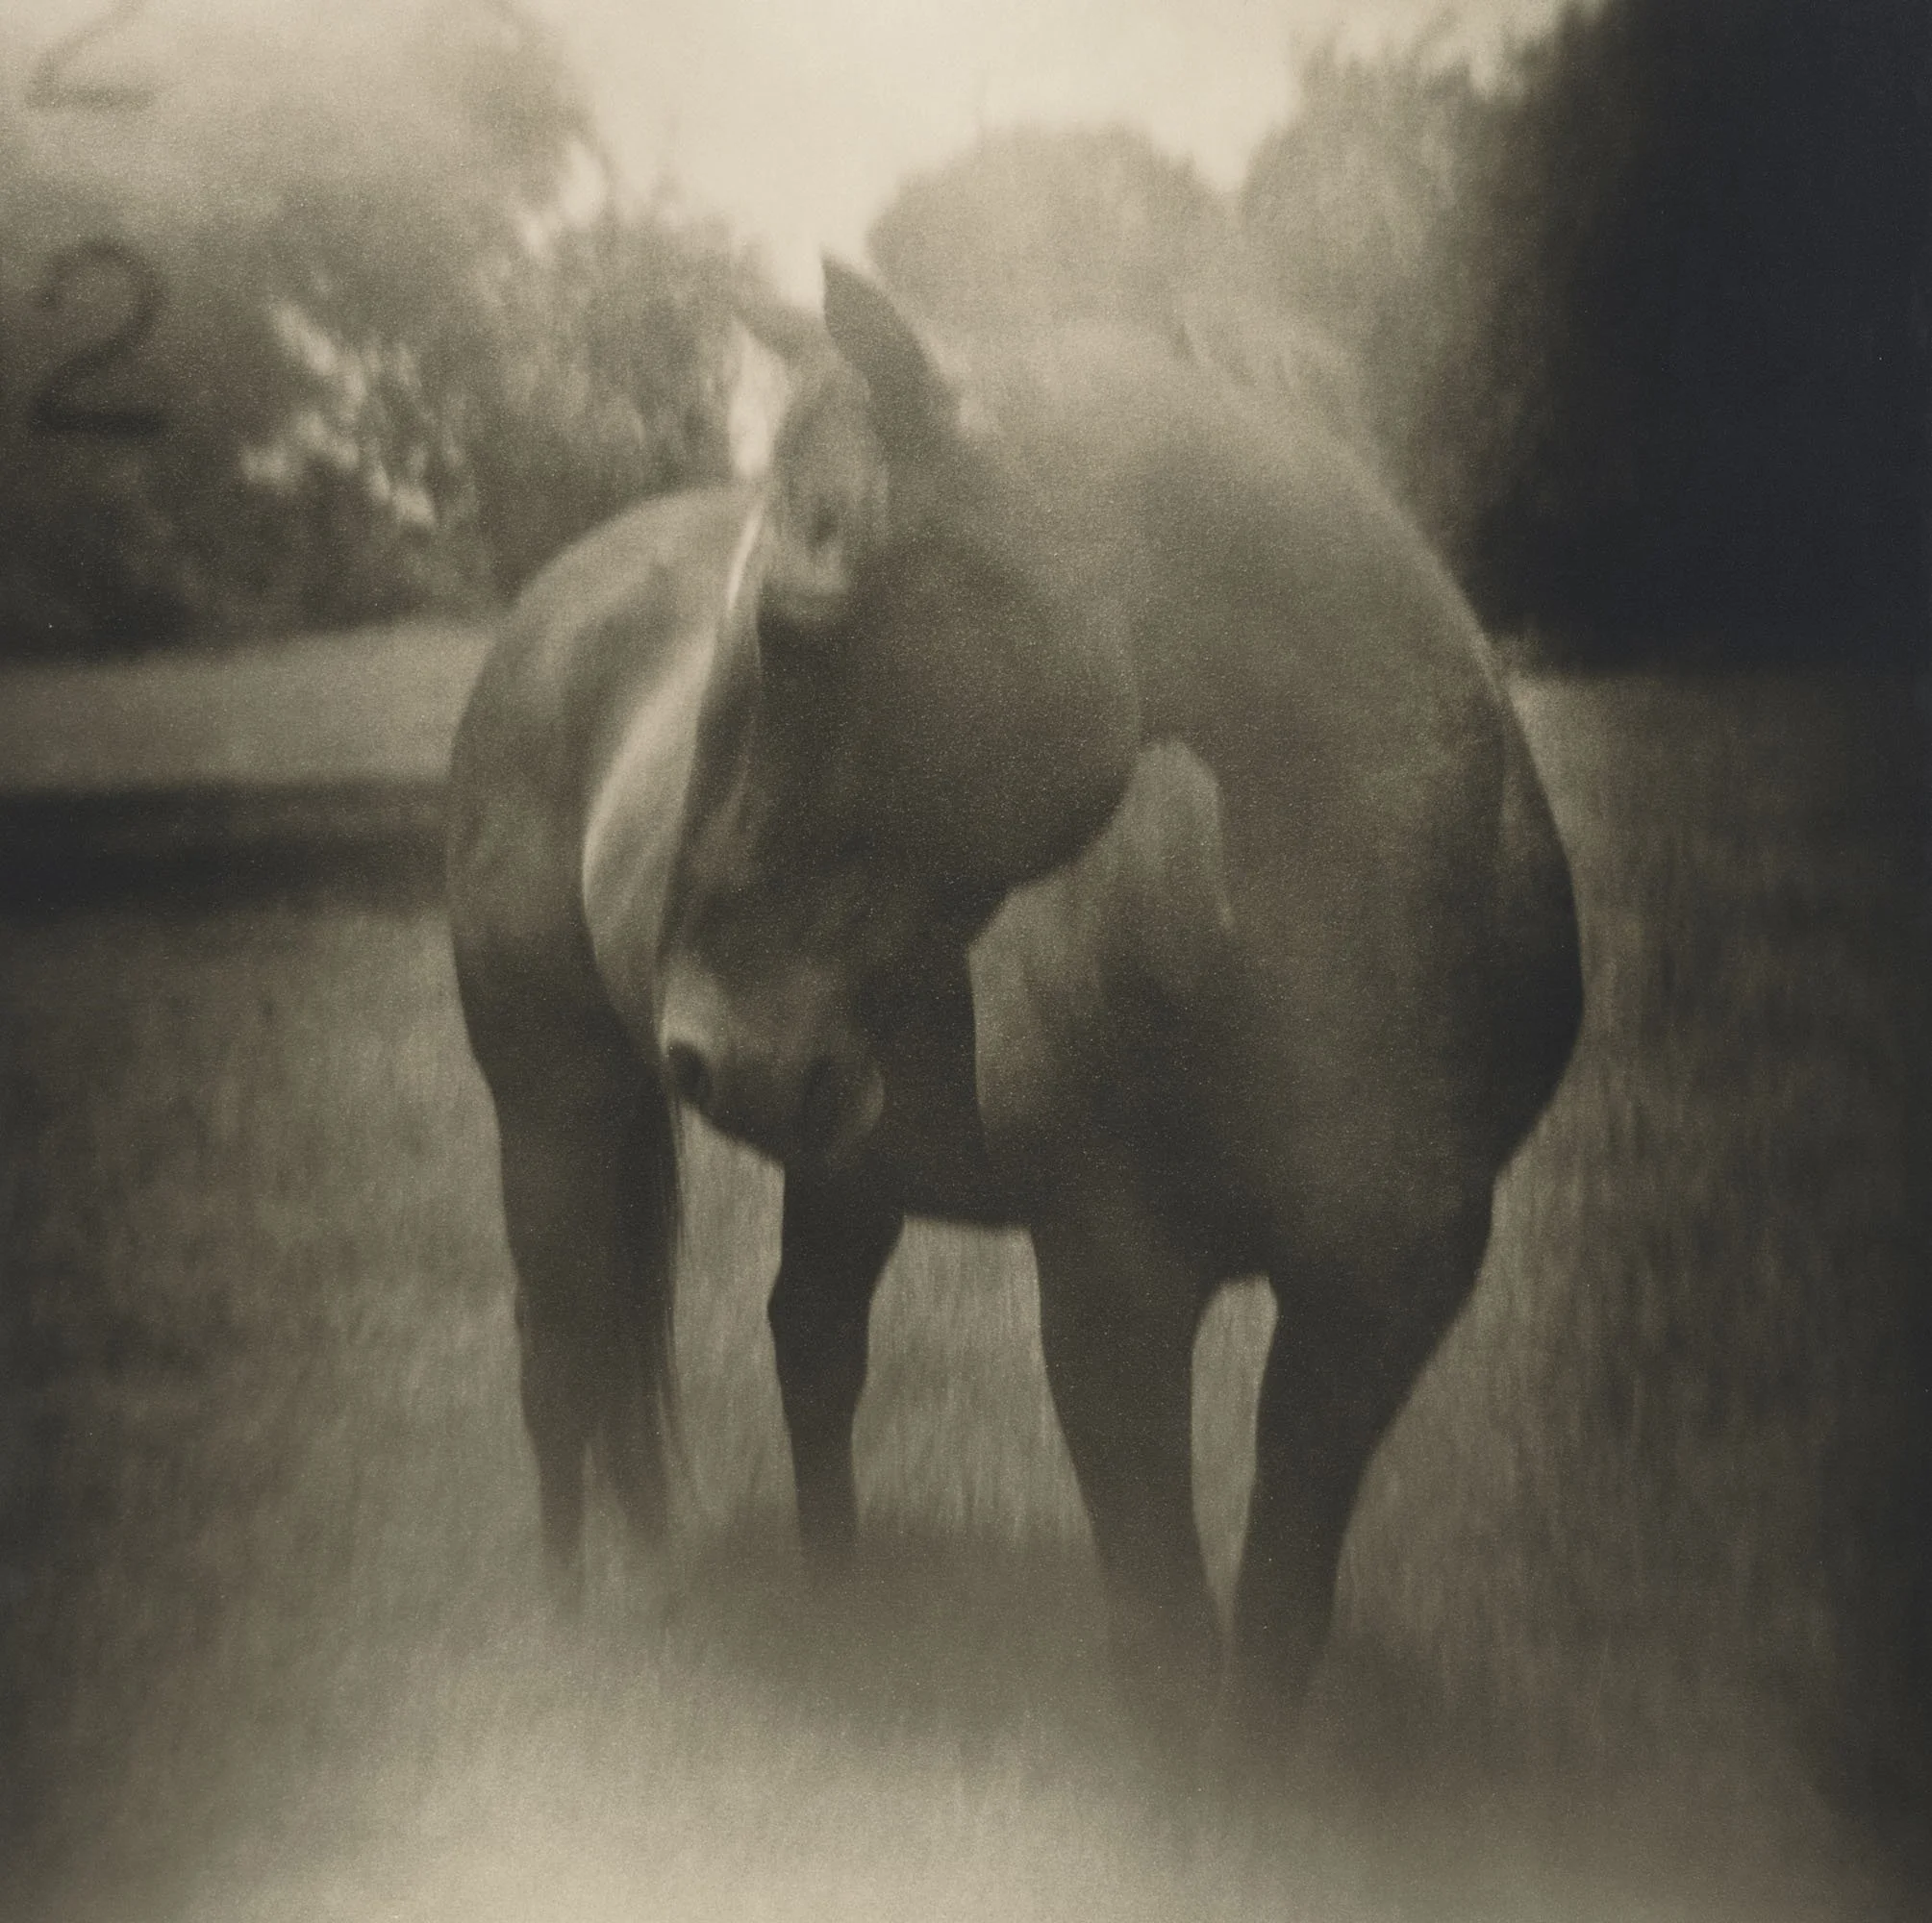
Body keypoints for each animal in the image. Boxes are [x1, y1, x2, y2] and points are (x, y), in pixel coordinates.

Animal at [446, 263, 1582, 1761]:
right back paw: (577, 1612)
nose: (704, 1042)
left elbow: (1280, 1615)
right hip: (557, 1110)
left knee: (808, 1345)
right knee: (563, 1340)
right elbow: (1162, 1626)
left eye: (796, 630)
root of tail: (550, 607)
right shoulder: (1110, 1282)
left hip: (839, 1144)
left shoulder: (1389, 1294)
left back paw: (835, 1603)